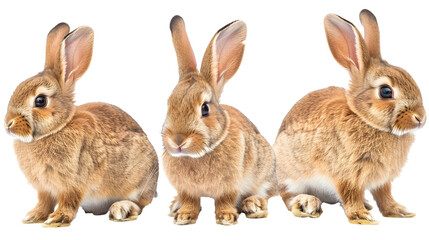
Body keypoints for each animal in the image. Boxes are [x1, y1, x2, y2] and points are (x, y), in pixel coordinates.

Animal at [4, 22, 159, 227]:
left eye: (40, 101)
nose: (8, 124)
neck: (58, 128)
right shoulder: (44, 188)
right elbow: (44, 202)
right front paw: (34, 216)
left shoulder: (73, 183)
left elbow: (68, 201)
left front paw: (58, 219)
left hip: (139, 182)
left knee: (140, 204)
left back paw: (121, 208)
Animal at [161, 15, 278, 226]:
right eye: (169, 105)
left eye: (205, 108)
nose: (177, 141)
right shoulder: (187, 190)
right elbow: (190, 201)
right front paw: (184, 216)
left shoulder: (231, 185)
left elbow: (225, 200)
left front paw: (226, 217)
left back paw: (253, 204)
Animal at [274, 8, 424, 223]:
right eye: (386, 91)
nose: (420, 118)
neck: (364, 118)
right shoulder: (347, 174)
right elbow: (350, 193)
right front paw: (362, 217)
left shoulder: (382, 179)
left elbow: (384, 195)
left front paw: (398, 211)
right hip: (291, 176)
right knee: (287, 196)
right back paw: (306, 202)